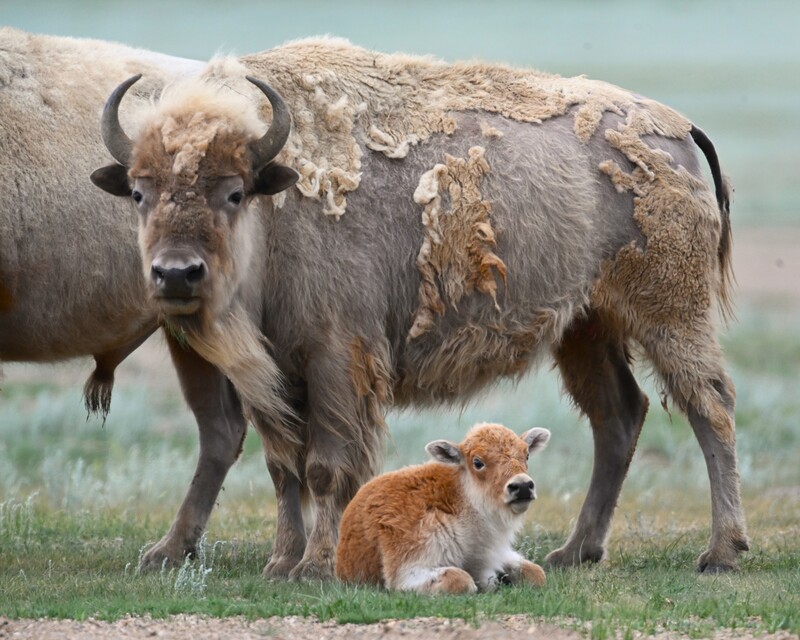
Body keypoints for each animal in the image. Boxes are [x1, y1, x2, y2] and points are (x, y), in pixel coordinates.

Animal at [336, 422, 552, 592]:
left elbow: (537, 573)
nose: (522, 486)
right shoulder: (406, 571)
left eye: (526, 455)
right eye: (477, 462)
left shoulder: (496, 553)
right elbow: (461, 580)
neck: (460, 500)